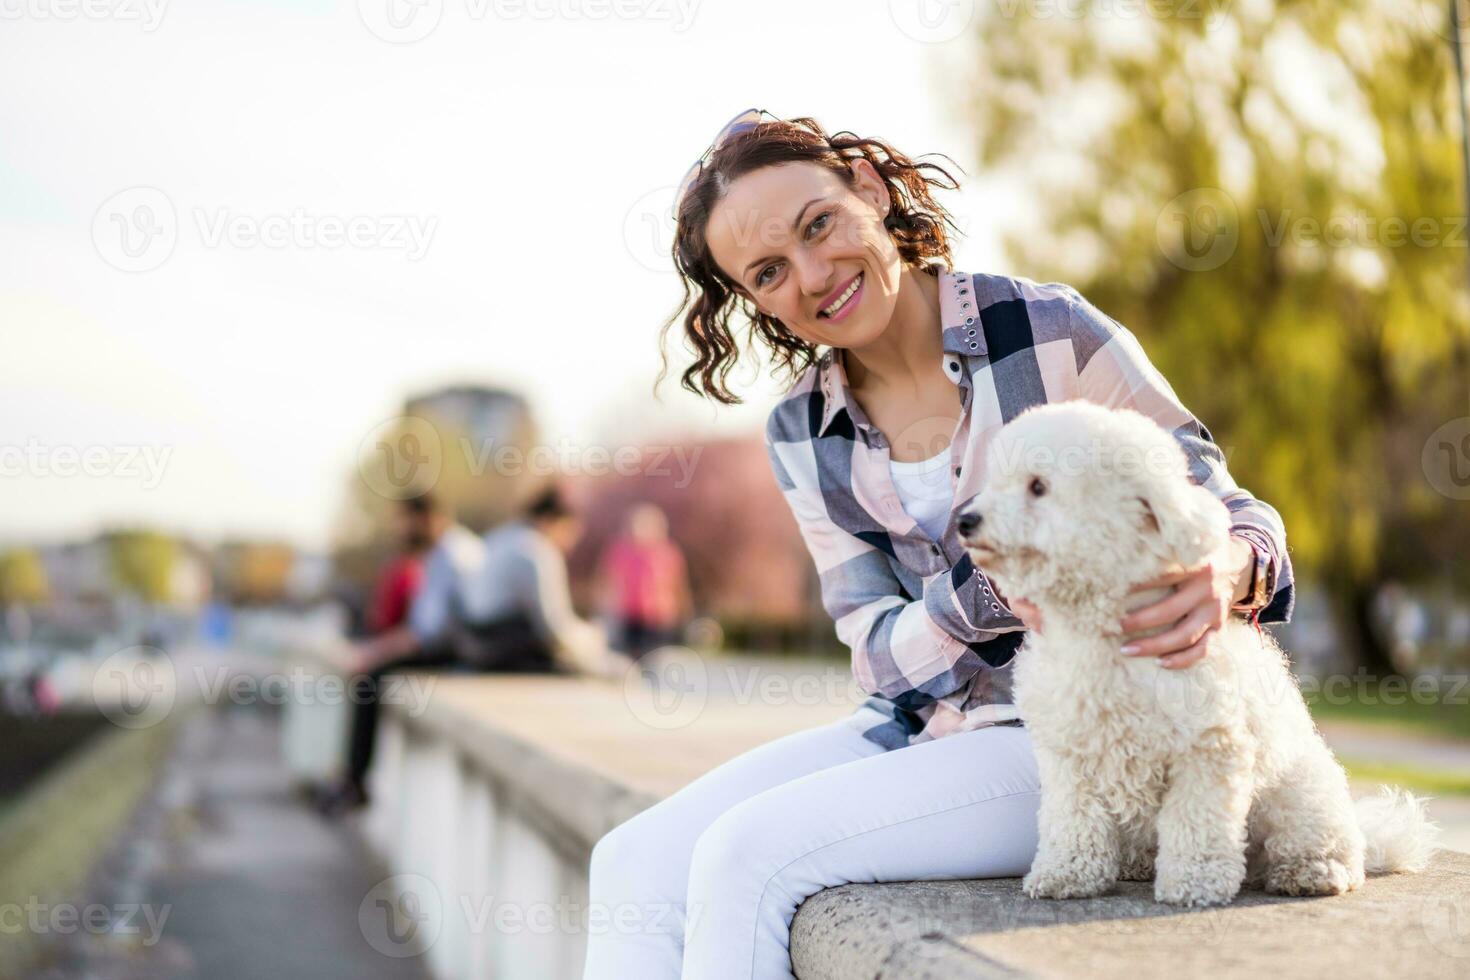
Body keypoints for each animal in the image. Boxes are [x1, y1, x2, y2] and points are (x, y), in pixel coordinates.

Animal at [952, 402, 1434, 910]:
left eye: (1038, 487)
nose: (966, 521)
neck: (1103, 632)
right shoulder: (1069, 755)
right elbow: (1073, 818)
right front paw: (1067, 872)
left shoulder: (1207, 749)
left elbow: (1196, 822)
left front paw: (1194, 882)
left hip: (1301, 797)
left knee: (1312, 841)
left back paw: (1311, 870)